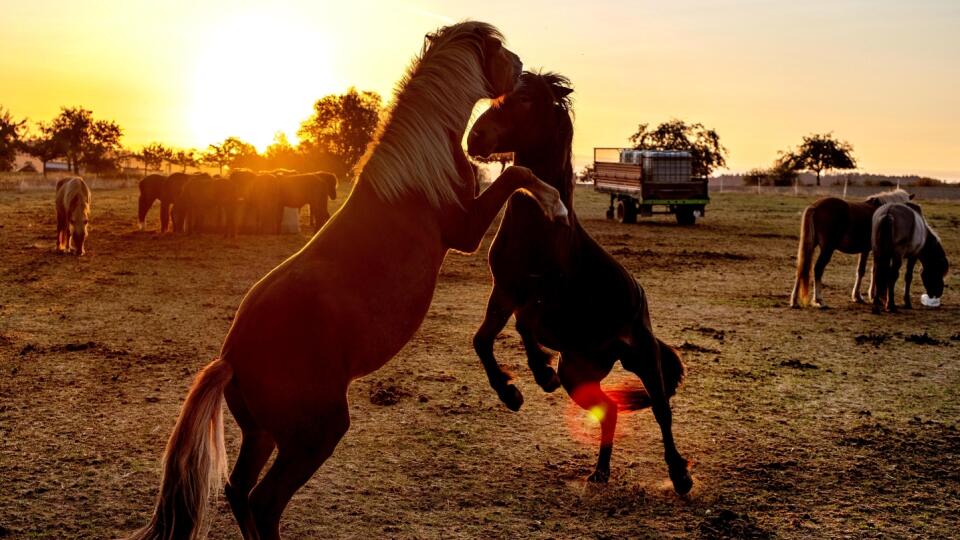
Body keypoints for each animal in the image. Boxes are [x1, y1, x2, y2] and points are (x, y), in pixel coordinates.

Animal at [125, 21, 564, 540]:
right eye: (499, 52)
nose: (520, 68)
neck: (419, 168)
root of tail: (231, 358)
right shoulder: (465, 230)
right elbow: (518, 173)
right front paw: (556, 203)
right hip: (316, 435)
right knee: (263, 501)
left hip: (263, 435)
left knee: (237, 491)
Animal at [464, 71, 688, 494]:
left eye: (526, 100)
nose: (475, 138)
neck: (540, 226)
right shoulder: (503, 292)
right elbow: (483, 340)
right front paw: (512, 393)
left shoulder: (542, 297)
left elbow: (523, 325)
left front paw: (539, 372)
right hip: (579, 375)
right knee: (610, 410)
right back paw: (599, 473)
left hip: (645, 357)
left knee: (662, 411)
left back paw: (681, 476)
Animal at [788, 189, 916, 308]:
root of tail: (815, 206)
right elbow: (874, 270)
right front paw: (872, 296)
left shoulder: (865, 250)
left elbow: (862, 270)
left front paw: (858, 296)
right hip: (827, 248)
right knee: (818, 269)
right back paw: (819, 300)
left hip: (811, 245)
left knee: (802, 268)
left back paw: (794, 301)